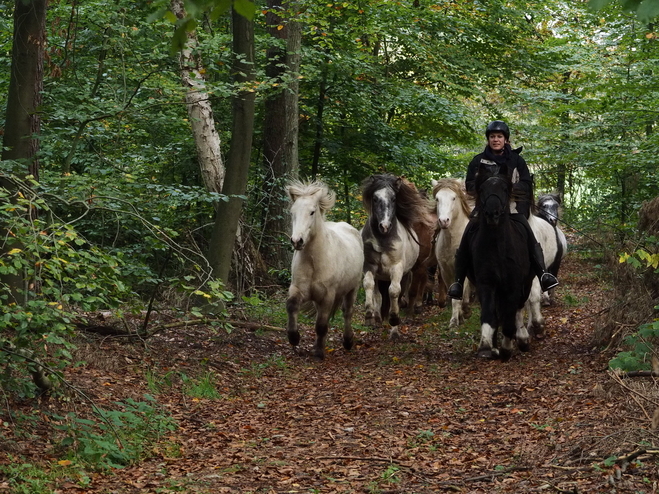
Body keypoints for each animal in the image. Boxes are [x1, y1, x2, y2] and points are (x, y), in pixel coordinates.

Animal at [284, 180, 364, 358]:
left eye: (312, 212)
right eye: (293, 212)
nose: (297, 241)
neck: (314, 262)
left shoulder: (328, 295)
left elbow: (321, 325)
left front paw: (319, 353)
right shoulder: (298, 289)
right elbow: (292, 305)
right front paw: (294, 337)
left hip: (352, 289)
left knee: (347, 312)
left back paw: (348, 341)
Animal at [360, 174, 434, 340]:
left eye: (394, 198)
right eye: (375, 198)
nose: (384, 226)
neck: (382, 240)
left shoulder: (397, 268)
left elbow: (394, 292)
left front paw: (394, 319)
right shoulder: (369, 266)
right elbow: (368, 285)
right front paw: (369, 315)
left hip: (408, 271)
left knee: (400, 295)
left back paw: (395, 329)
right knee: (379, 295)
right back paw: (378, 318)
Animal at [434, 178, 474, 328]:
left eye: (453, 198)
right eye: (437, 199)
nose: (444, 221)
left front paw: (458, 317)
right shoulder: (445, 271)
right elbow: (453, 295)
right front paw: (458, 318)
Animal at [470, 164, 536, 360]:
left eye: (505, 189)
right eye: (482, 189)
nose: (492, 214)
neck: (497, 248)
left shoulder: (513, 285)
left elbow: (510, 317)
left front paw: (507, 347)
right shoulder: (486, 283)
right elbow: (489, 315)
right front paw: (486, 346)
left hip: (526, 283)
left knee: (518, 309)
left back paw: (521, 339)